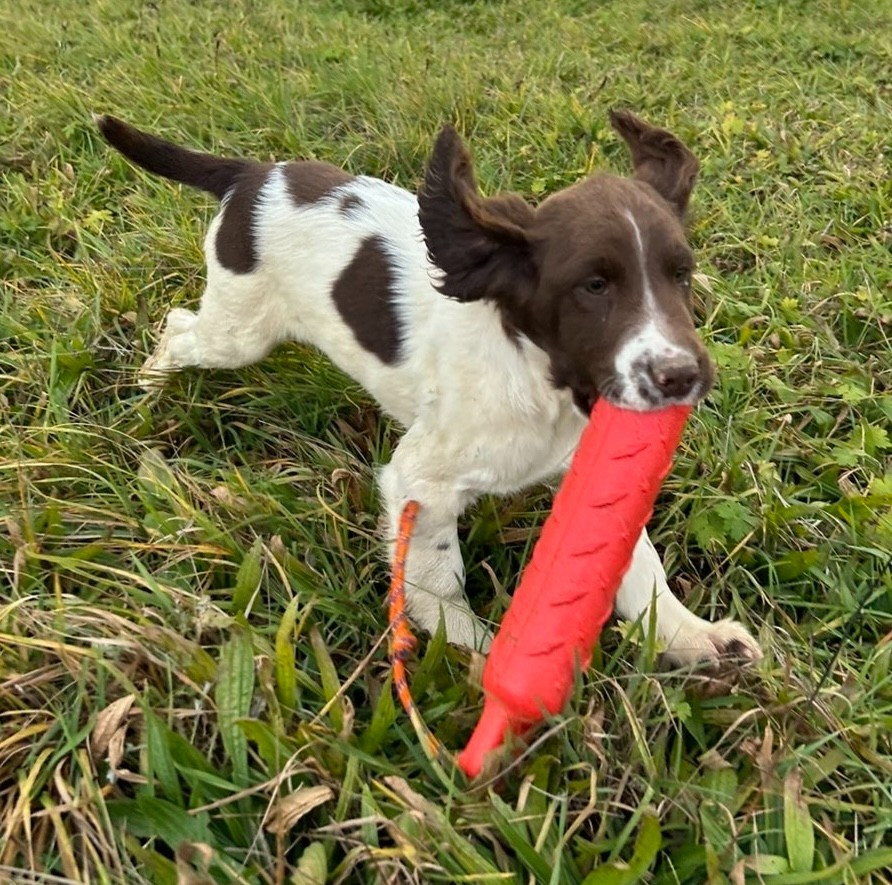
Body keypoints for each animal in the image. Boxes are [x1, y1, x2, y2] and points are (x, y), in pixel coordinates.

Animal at [96, 110, 761, 667]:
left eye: (681, 275)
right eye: (593, 287)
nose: (682, 376)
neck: (541, 380)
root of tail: (252, 175)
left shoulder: (587, 466)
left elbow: (636, 561)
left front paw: (691, 636)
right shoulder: (421, 479)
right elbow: (438, 576)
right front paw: (470, 652)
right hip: (239, 331)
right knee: (178, 327)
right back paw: (149, 386)